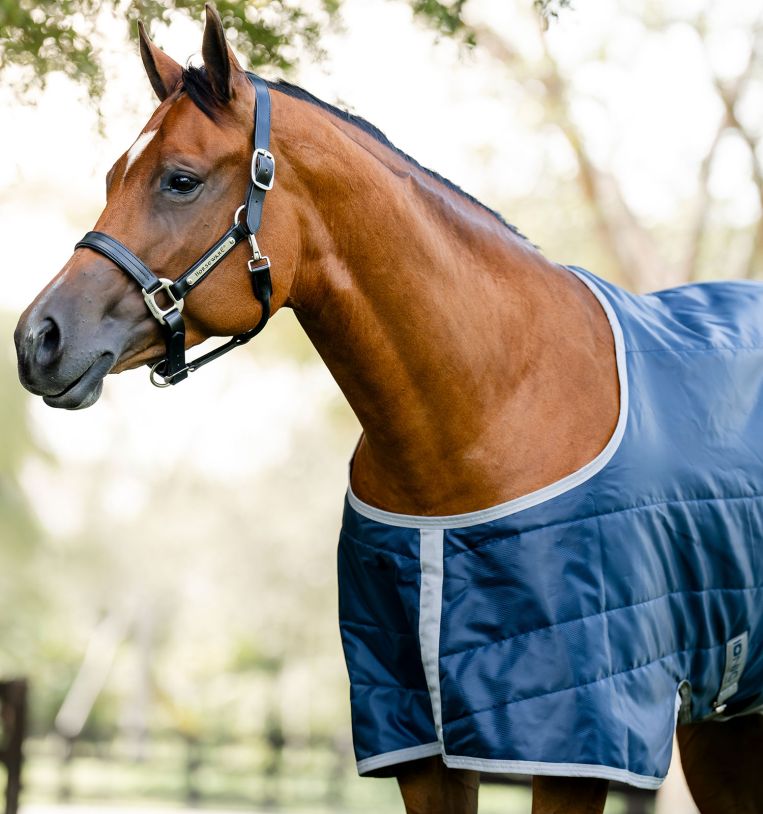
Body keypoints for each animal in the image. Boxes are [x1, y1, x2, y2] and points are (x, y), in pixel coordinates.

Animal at [14, 6, 763, 812]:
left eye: (180, 180)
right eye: (112, 176)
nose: (38, 339)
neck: (494, 403)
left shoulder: (575, 740)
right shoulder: (418, 739)